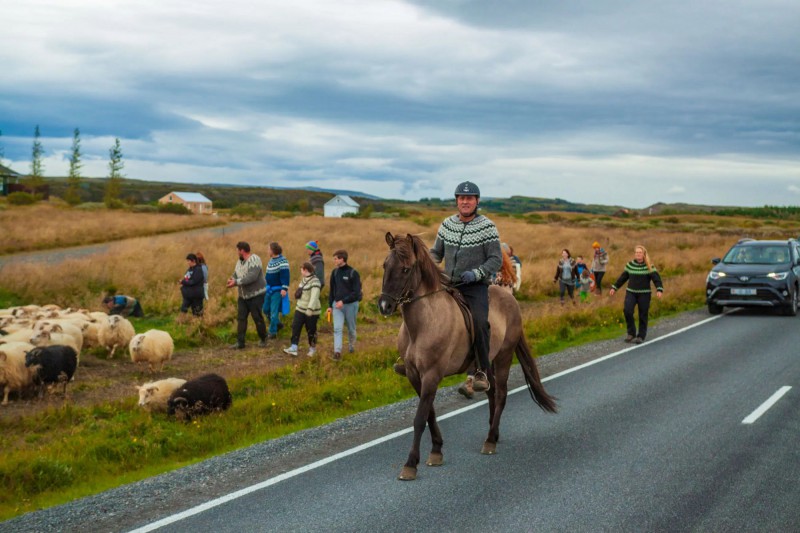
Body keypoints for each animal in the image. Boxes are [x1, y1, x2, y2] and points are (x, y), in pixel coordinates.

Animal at [380, 231, 556, 480]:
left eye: (405, 269)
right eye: (385, 265)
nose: (384, 305)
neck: (423, 324)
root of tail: (510, 298)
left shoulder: (432, 375)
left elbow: (420, 418)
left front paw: (411, 464)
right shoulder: (415, 376)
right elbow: (430, 414)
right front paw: (436, 451)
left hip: (503, 356)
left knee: (501, 394)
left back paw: (490, 441)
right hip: (487, 360)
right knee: (491, 392)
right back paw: (494, 432)